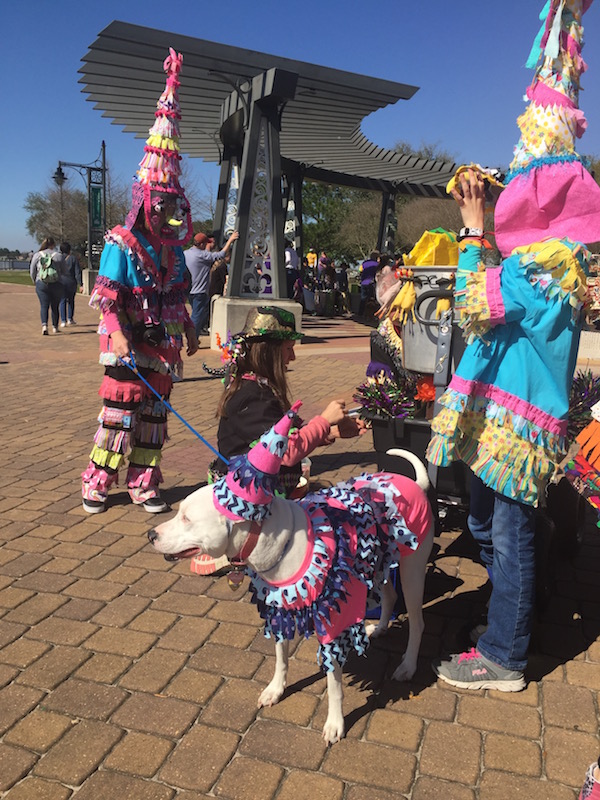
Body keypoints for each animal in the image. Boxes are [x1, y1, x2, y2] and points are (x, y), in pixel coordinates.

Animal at [148, 446, 434, 748]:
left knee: (417, 622)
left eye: (187, 519)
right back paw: (378, 629)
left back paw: (408, 666)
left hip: (412, 574)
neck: (268, 538)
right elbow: (280, 657)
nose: (151, 534)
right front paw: (276, 690)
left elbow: (334, 683)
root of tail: (414, 484)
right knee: (389, 597)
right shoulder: (279, 611)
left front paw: (335, 723)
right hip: (380, 566)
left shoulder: (331, 623)